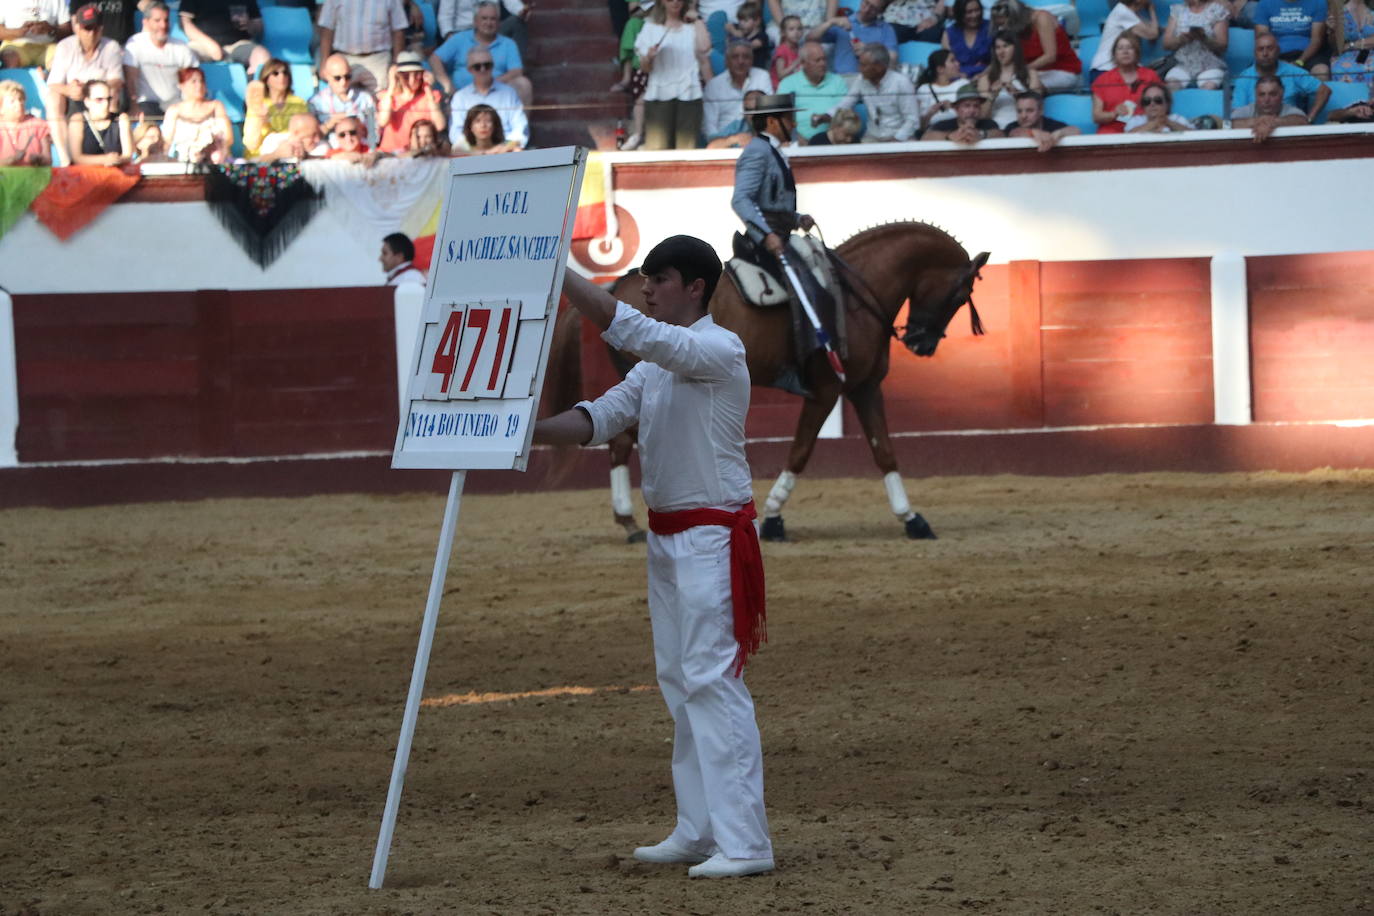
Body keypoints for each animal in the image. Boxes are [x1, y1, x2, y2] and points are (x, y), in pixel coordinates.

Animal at [557, 219, 989, 538]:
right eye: (960, 293)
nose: (921, 343)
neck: (856, 296)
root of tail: (618, 284)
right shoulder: (827, 390)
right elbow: (800, 450)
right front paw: (773, 517)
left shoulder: (865, 387)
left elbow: (884, 450)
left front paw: (912, 518)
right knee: (620, 441)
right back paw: (629, 522)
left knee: (617, 437)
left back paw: (628, 521)